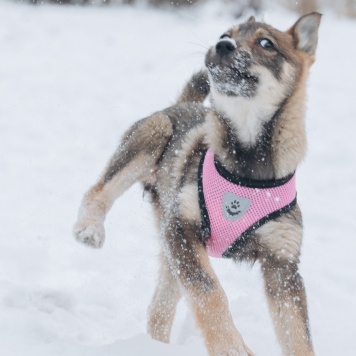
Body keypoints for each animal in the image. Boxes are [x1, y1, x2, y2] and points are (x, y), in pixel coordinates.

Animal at [73, 12, 322, 354]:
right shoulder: (182, 229)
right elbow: (210, 292)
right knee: (98, 191)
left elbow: (297, 332)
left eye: (266, 43)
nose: (222, 45)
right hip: (154, 135)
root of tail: (182, 104)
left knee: (159, 309)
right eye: (226, 33)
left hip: (169, 242)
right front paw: (230, 347)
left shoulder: (283, 263)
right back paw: (90, 228)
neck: (247, 165)